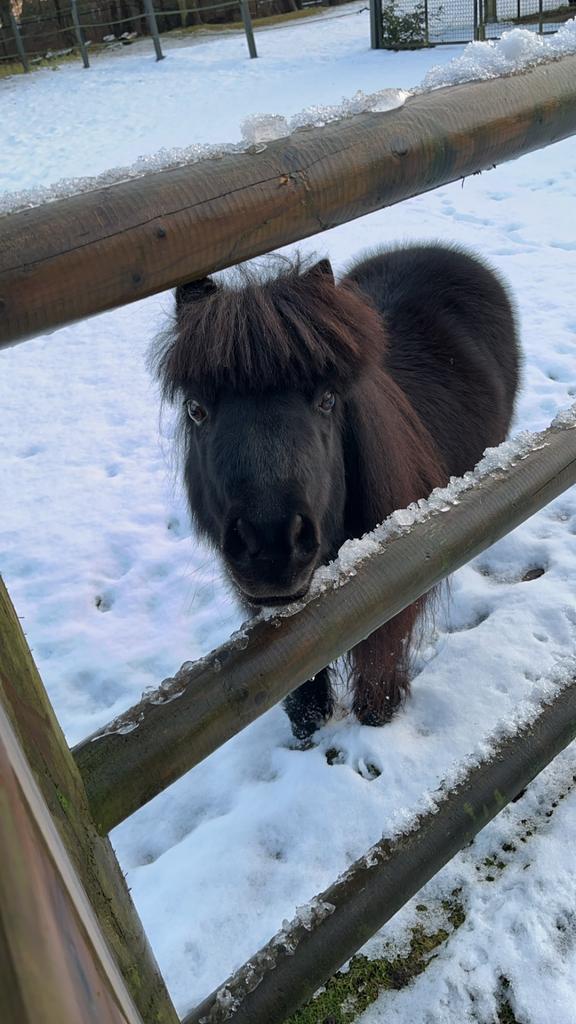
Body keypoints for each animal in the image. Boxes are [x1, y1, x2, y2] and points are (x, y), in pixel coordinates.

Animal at [151, 244, 520, 740]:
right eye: (196, 409)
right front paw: (308, 723)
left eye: (327, 399)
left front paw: (377, 717)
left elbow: (378, 672)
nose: (271, 546)